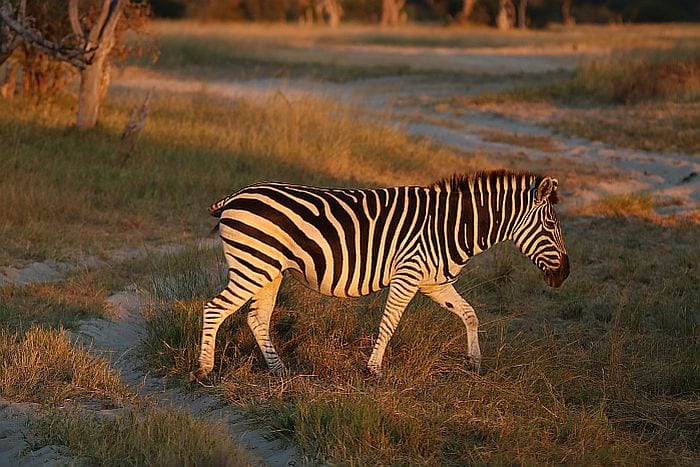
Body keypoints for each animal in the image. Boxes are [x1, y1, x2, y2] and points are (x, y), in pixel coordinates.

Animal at [190, 170, 568, 382]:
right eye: (551, 226)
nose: (564, 275)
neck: (450, 227)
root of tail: (236, 195)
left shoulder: (434, 282)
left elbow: (470, 314)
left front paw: (474, 362)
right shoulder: (408, 275)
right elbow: (389, 324)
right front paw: (373, 370)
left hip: (268, 270)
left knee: (257, 318)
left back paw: (279, 370)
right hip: (252, 265)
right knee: (215, 309)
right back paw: (204, 370)